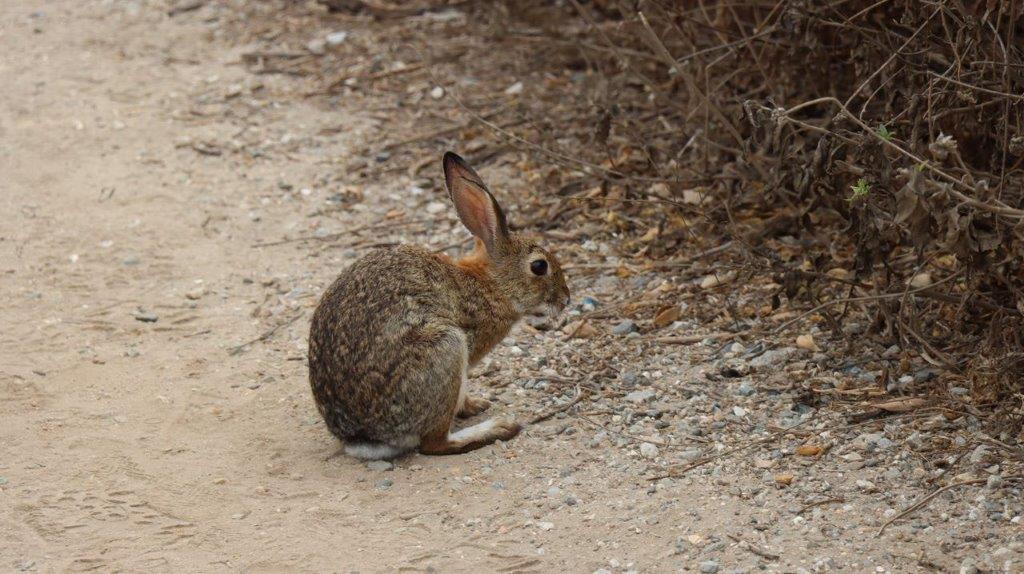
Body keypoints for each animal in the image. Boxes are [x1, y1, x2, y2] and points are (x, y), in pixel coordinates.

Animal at [307, 150, 573, 458]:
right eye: (539, 266)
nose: (566, 299)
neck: (490, 285)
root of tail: (363, 438)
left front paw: (474, 404)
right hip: (446, 347)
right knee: (435, 444)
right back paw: (498, 428)